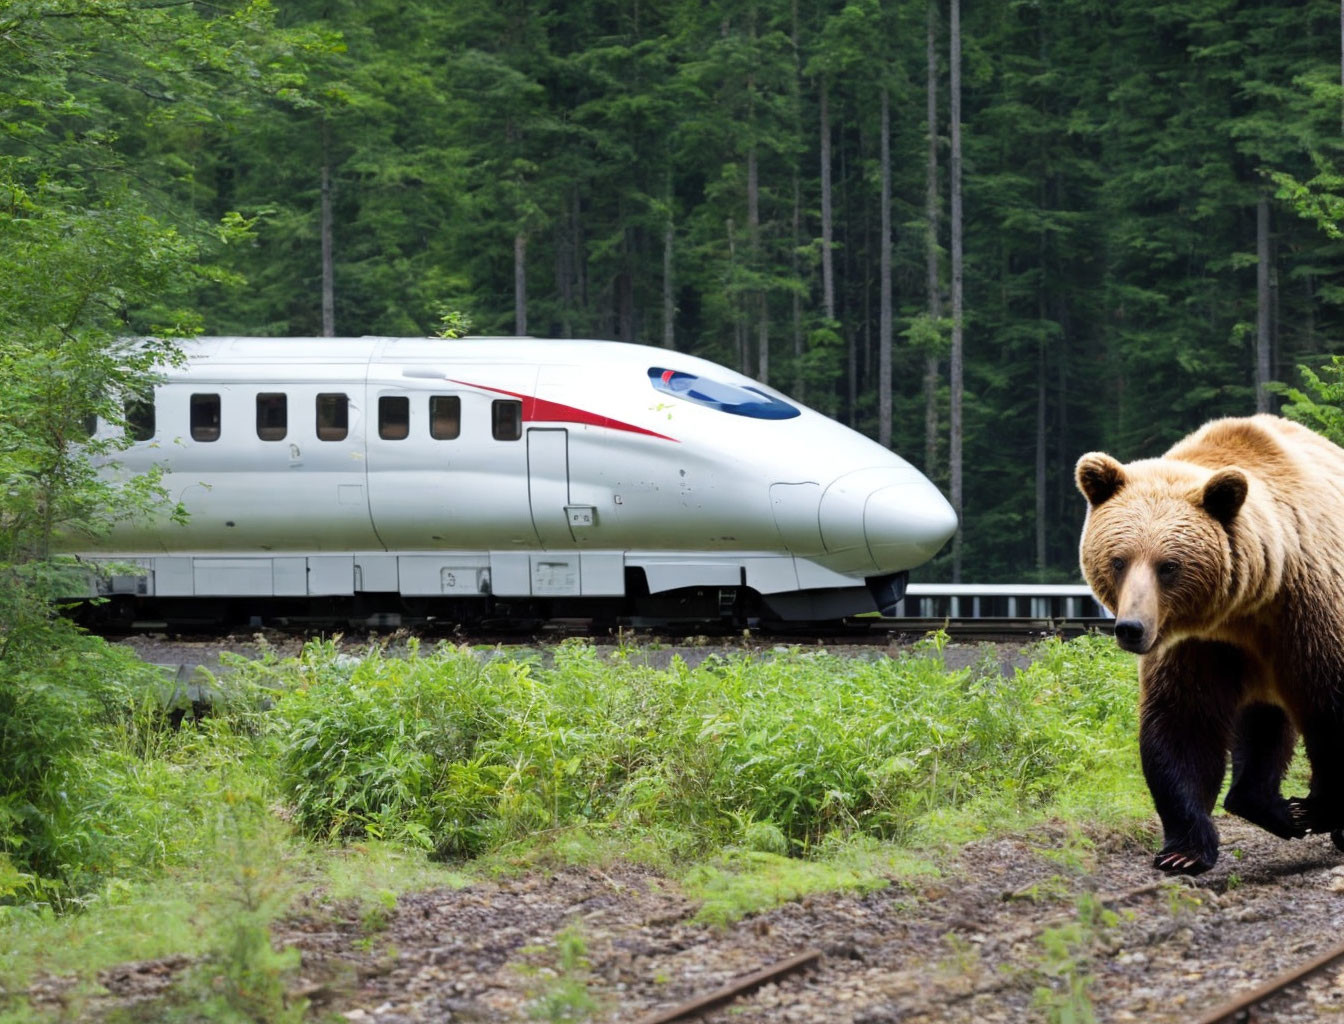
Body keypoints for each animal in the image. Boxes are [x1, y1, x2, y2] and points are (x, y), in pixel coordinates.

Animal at [1075, 411, 1344, 876]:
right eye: (1118, 559)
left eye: (1169, 565)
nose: (1131, 628)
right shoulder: (1197, 644)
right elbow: (1184, 724)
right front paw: (1184, 850)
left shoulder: (1309, 615)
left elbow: (1333, 712)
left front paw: (1323, 813)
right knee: (1264, 721)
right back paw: (1269, 805)